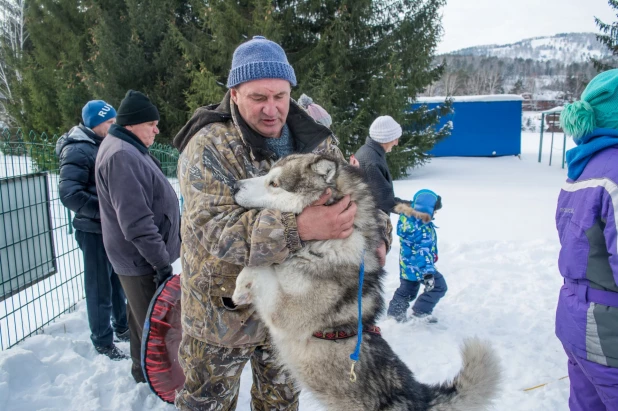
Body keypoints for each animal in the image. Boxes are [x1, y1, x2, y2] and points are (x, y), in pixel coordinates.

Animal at [229, 153, 498, 410]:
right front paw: (241, 286)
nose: (234, 185)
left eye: (274, 183)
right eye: (266, 174)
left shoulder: (287, 313)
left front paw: (244, 284)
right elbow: (262, 265)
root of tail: (420, 396)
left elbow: (264, 270)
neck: (324, 243)